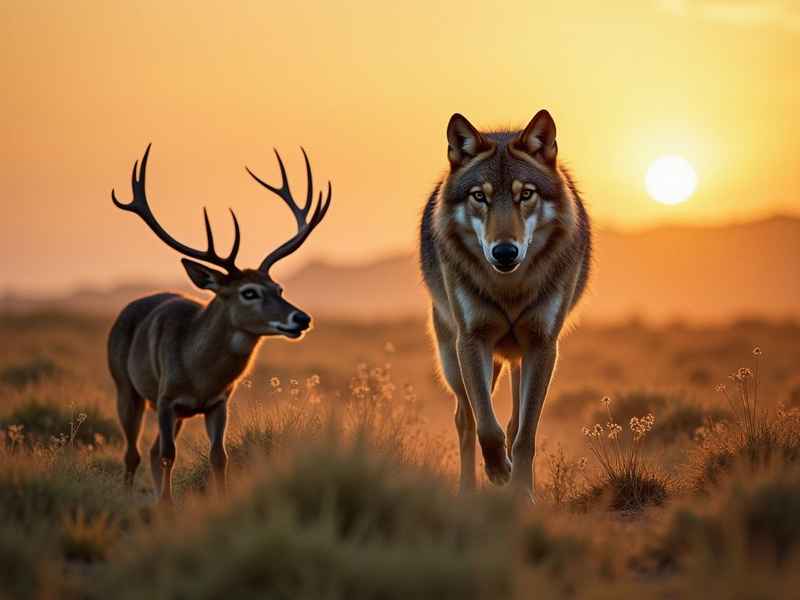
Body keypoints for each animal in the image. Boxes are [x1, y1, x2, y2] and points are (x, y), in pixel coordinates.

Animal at [107, 144, 331, 504]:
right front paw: (167, 506)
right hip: (125, 387)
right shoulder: (167, 398)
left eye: (279, 288)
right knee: (134, 452)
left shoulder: (219, 402)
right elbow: (169, 454)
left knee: (151, 451)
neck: (197, 371)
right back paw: (131, 496)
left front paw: (217, 499)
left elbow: (219, 456)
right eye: (249, 292)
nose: (302, 317)